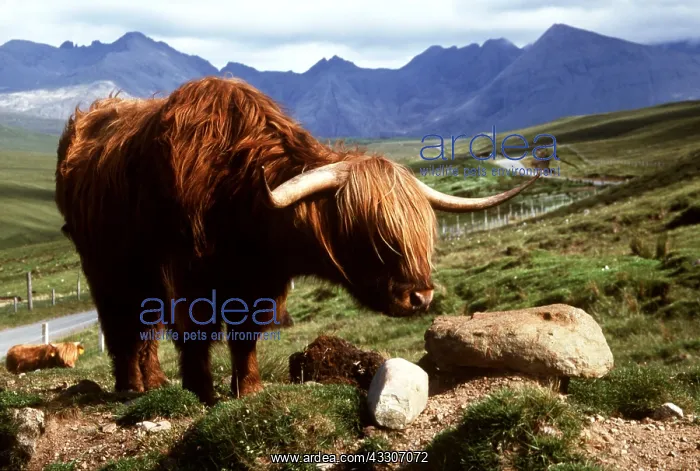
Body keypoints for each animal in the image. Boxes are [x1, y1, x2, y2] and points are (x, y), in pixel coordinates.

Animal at [55, 77, 544, 405]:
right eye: (370, 234)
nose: (420, 297)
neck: (237, 196)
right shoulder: (186, 277)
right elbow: (197, 336)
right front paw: (202, 396)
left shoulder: (259, 286)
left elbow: (245, 339)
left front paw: (248, 390)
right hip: (107, 269)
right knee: (123, 325)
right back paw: (131, 386)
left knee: (145, 327)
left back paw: (151, 382)